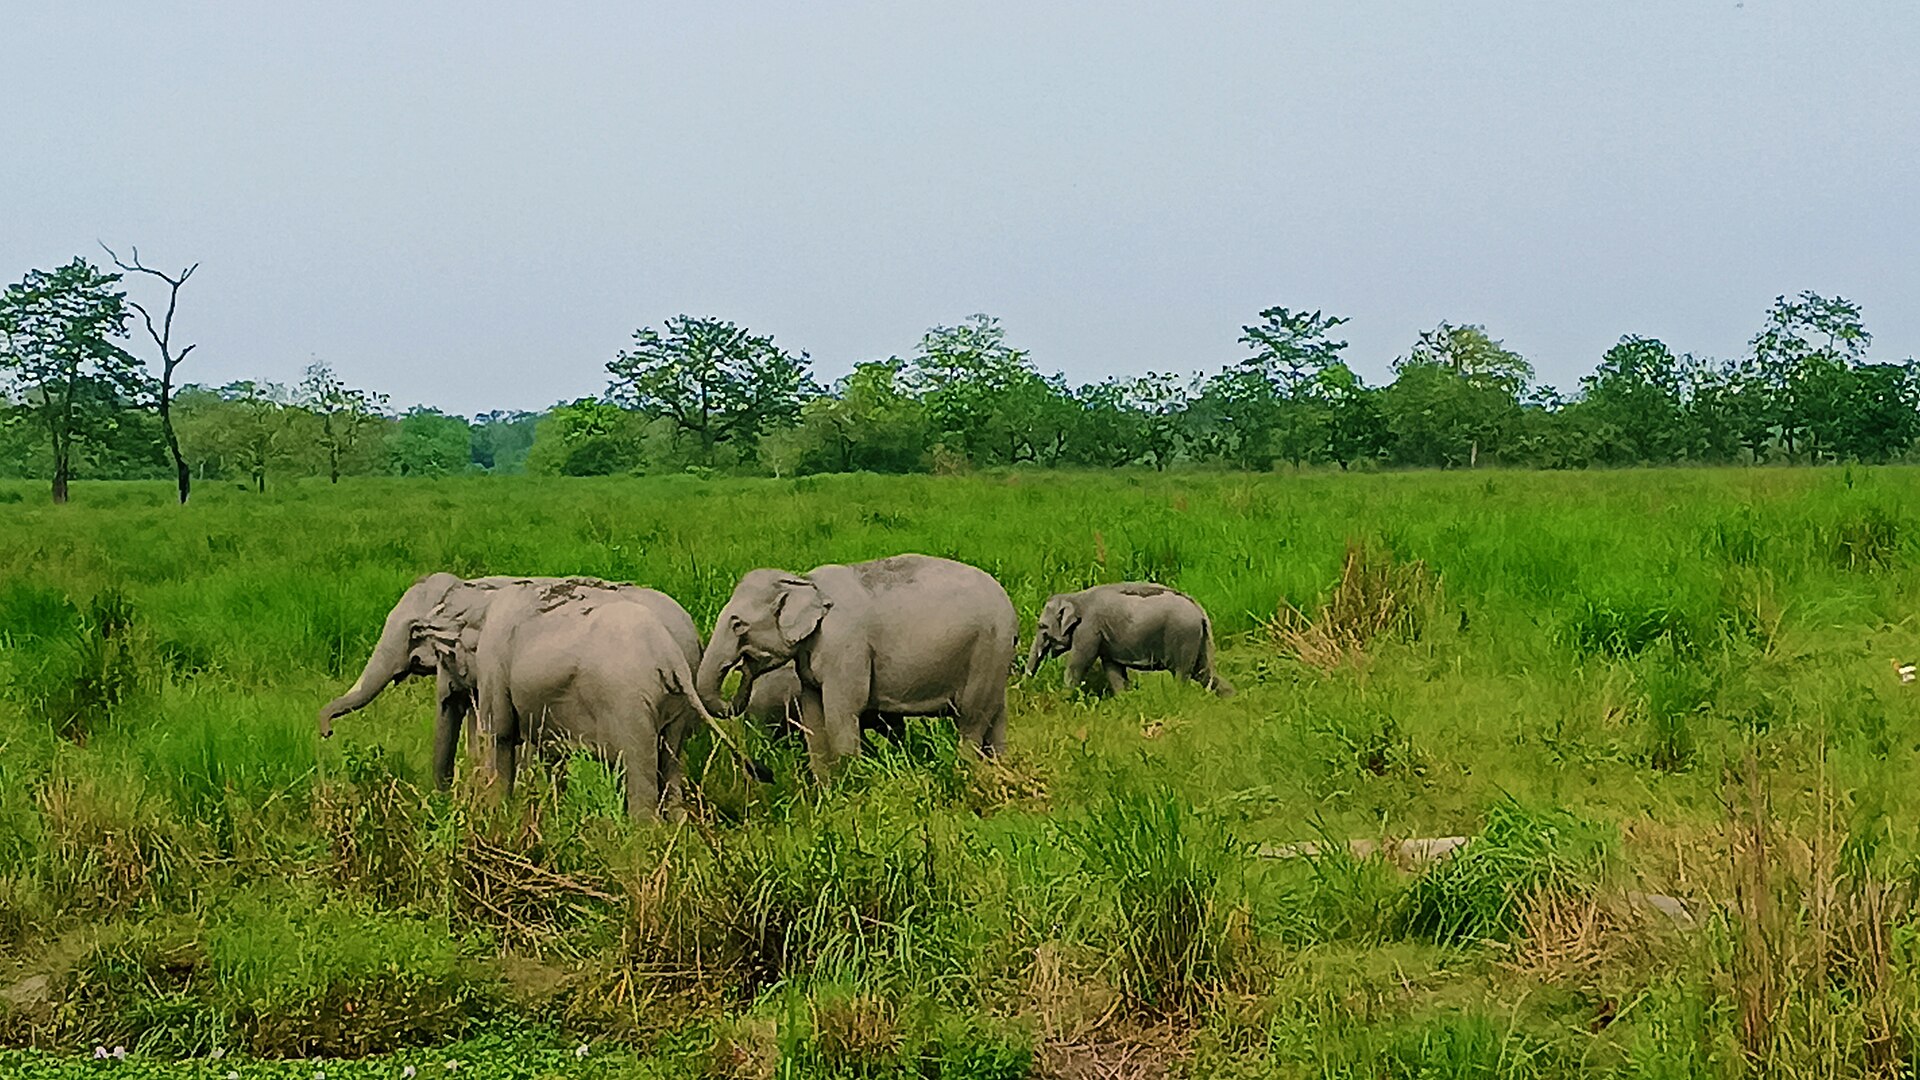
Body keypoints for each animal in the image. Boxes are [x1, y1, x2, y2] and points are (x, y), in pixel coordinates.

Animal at [697, 554, 1018, 781]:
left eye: (738, 624)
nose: (744, 668)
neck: (803, 581)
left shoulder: (845, 644)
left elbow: (842, 713)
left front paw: (853, 787)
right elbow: (813, 719)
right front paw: (826, 795)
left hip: (987, 648)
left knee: (972, 717)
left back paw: (964, 772)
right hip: (996, 657)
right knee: (996, 716)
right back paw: (998, 771)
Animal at [1025, 582, 1233, 696]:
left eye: (1041, 626)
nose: (1024, 689)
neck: (1075, 597)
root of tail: (1200, 611)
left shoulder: (1089, 629)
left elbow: (1078, 663)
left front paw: (1065, 698)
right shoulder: (1105, 636)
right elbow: (1113, 668)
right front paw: (1123, 699)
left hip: (1183, 636)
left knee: (1183, 673)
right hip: (1196, 639)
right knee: (1203, 673)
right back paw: (1232, 698)